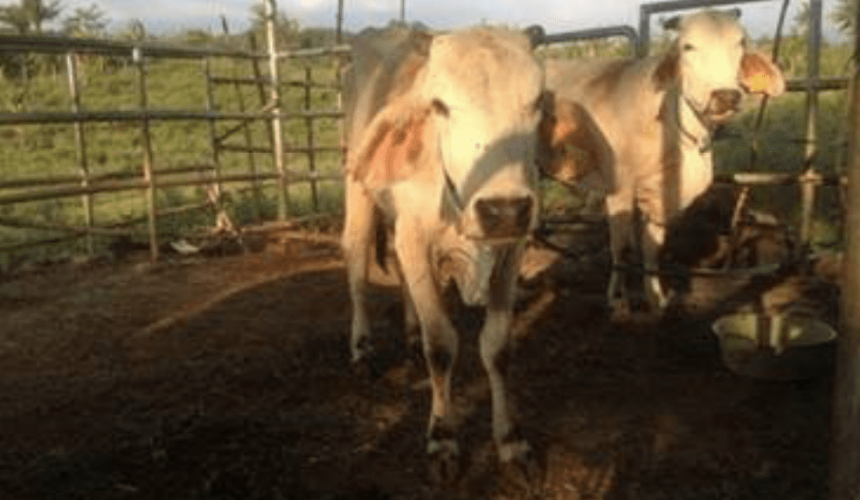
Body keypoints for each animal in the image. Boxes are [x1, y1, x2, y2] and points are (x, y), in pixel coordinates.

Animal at [341, 25, 544, 482]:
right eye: (439, 106)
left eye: (538, 100)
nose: (504, 210)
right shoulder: (415, 241)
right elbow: (442, 347)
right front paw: (443, 439)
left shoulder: (510, 252)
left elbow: (497, 348)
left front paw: (512, 441)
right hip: (359, 195)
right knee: (357, 272)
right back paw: (362, 350)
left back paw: (410, 337)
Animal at [539, 9, 786, 319]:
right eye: (688, 47)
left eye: (740, 43)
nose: (725, 96)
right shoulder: (618, 189)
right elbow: (620, 247)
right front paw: (617, 299)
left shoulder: (661, 195)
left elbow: (651, 248)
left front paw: (656, 299)